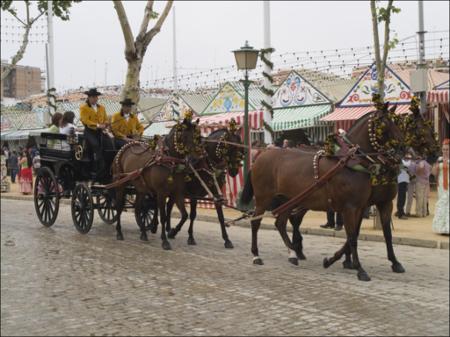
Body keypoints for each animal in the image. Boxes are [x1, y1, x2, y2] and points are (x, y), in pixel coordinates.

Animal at [111, 116, 203, 249]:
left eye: (199, 133)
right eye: (188, 134)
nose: (201, 153)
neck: (170, 160)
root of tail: (125, 147)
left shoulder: (177, 193)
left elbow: (185, 215)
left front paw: (172, 232)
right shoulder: (161, 193)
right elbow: (163, 216)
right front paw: (165, 241)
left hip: (141, 189)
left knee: (138, 209)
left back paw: (144, 233)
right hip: (120, 183)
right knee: (119, 207)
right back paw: (119, 232)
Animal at [241, 105, 406, 280]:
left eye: (397, 122)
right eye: (384, 125)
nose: (403, 148)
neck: (349, 161)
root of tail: (259, 157)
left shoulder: (365, 206)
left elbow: (368, 234)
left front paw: (335, 260)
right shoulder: (350, 207)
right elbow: (352, 237)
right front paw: (359, 268)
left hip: (289, 199)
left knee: (281, 223)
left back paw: (293, 252)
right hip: (263, 198)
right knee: (256, 222)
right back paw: (257, 255)